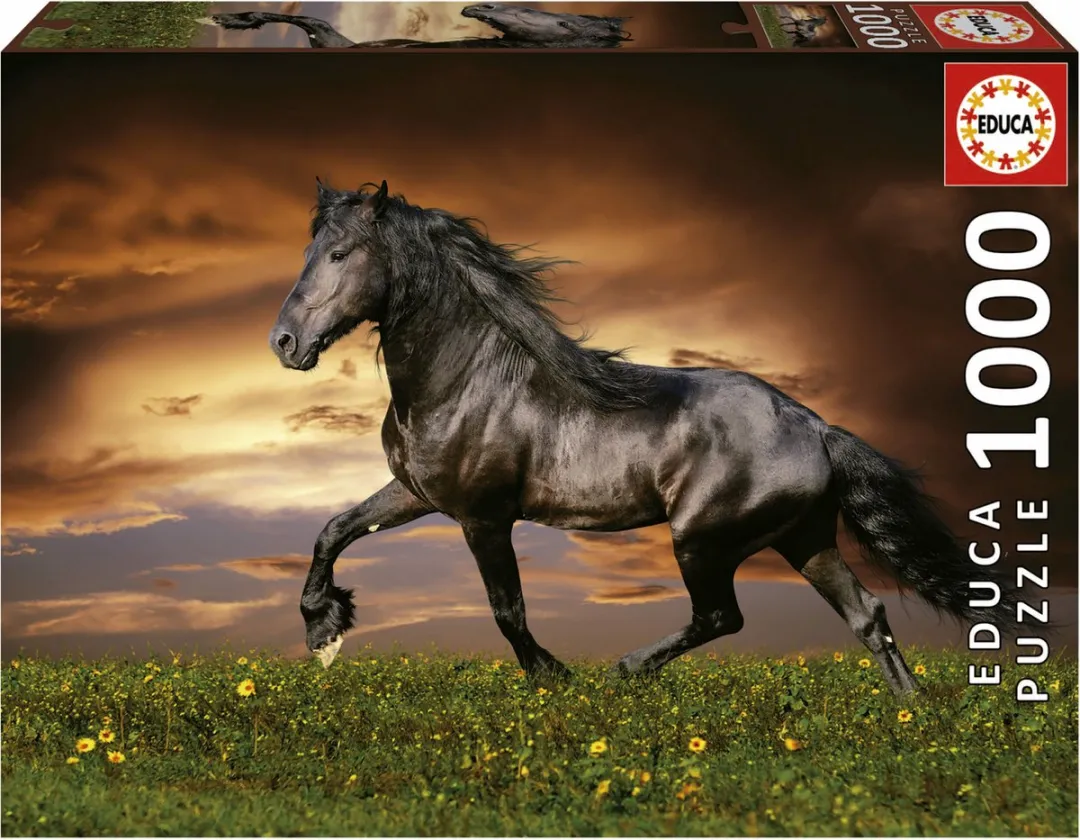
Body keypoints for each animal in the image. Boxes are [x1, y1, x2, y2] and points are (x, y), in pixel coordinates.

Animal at [268, 180, 1016, 696]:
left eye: (339, 253)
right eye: (306, 250)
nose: (284, 343)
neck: (466, 379)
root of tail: (815, 427)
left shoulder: (483, 516)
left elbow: (507, 609)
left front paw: (554, 678)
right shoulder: (416, 493)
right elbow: (334, 530)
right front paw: (324, 628)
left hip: (702, 540)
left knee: (722, 618)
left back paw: (624, 671)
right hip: (804, 538)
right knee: (866, 614)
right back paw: (911, 713)